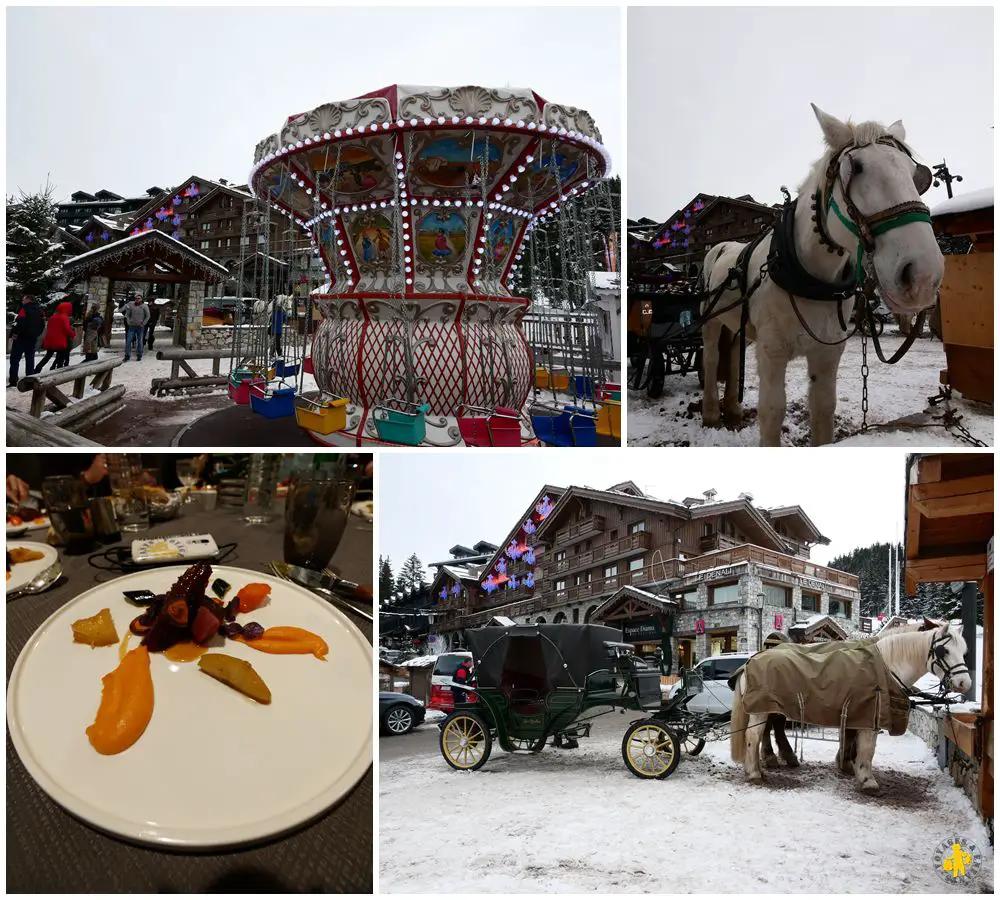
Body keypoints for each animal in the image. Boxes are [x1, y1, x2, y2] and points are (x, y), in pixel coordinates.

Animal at [700, 107, 940, 444]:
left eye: (916, 175)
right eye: (856, 168)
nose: (922, 276)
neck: (809, 276)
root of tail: (720, 247)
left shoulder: (827, 353)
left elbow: (824, 408)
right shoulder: (771, 352)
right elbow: (772, 411)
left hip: (737, 324)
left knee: (733, 352)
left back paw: (732, 409)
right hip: (709, 319)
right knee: (710, 357)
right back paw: (710, 412)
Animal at [728, 624, 968, 796]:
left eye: (964, 651)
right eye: (944, 650)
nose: (965, 683)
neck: (886, 665)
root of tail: (749, 662)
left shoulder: (858, 712)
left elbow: (854, 741)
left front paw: (848, 765)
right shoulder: (869, 715)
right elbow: (868, 749)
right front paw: (866, 779)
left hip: (770, 706)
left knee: (766, 731)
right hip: (761, 708)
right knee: (754, 735)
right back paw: (755, 772)